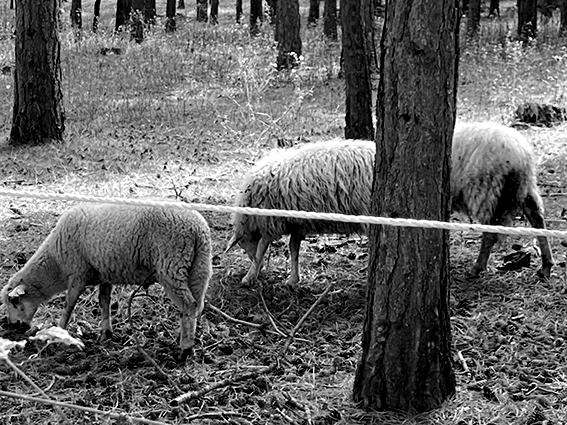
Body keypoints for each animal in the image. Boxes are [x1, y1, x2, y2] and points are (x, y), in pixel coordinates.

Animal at [0, 202, 213, 358]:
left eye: (14, 301)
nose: (13, 326)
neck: (56, 263)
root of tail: (197, 228)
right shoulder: (104, 273)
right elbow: (104, 301)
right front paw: (106, 333)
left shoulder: (78, 273)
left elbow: (69, 304)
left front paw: (59, 330)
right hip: (199, 267)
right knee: (196, 305)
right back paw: (188, 338)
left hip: (171, 265)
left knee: (188, 304)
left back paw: (185, 349)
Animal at [226, 121, 556, 284]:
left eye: (243, 244)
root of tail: (521, 152)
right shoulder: (295, 219)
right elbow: (293, 247)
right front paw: (288, 279)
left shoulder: (278, 218)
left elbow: (270, 245)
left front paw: (250, 275)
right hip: (525, 189)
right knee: (538, 220)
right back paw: (546, 265)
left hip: (485, 190)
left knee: (490, 234)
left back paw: (477, 268)